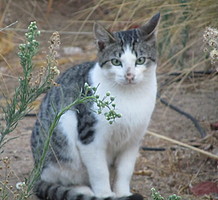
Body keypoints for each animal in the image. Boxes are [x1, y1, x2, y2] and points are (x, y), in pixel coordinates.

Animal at [30, 12, 160, 200]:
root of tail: (36, 171)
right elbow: (99, 172)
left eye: (140, 60)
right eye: (116, 62)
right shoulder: (90, 138)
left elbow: (125, 170)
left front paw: (122, 193)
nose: (129, 75)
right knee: (62, 180)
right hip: (63, 132)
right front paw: (106, 195)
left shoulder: (133, 140)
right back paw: (83, 191)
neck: (130, 96)